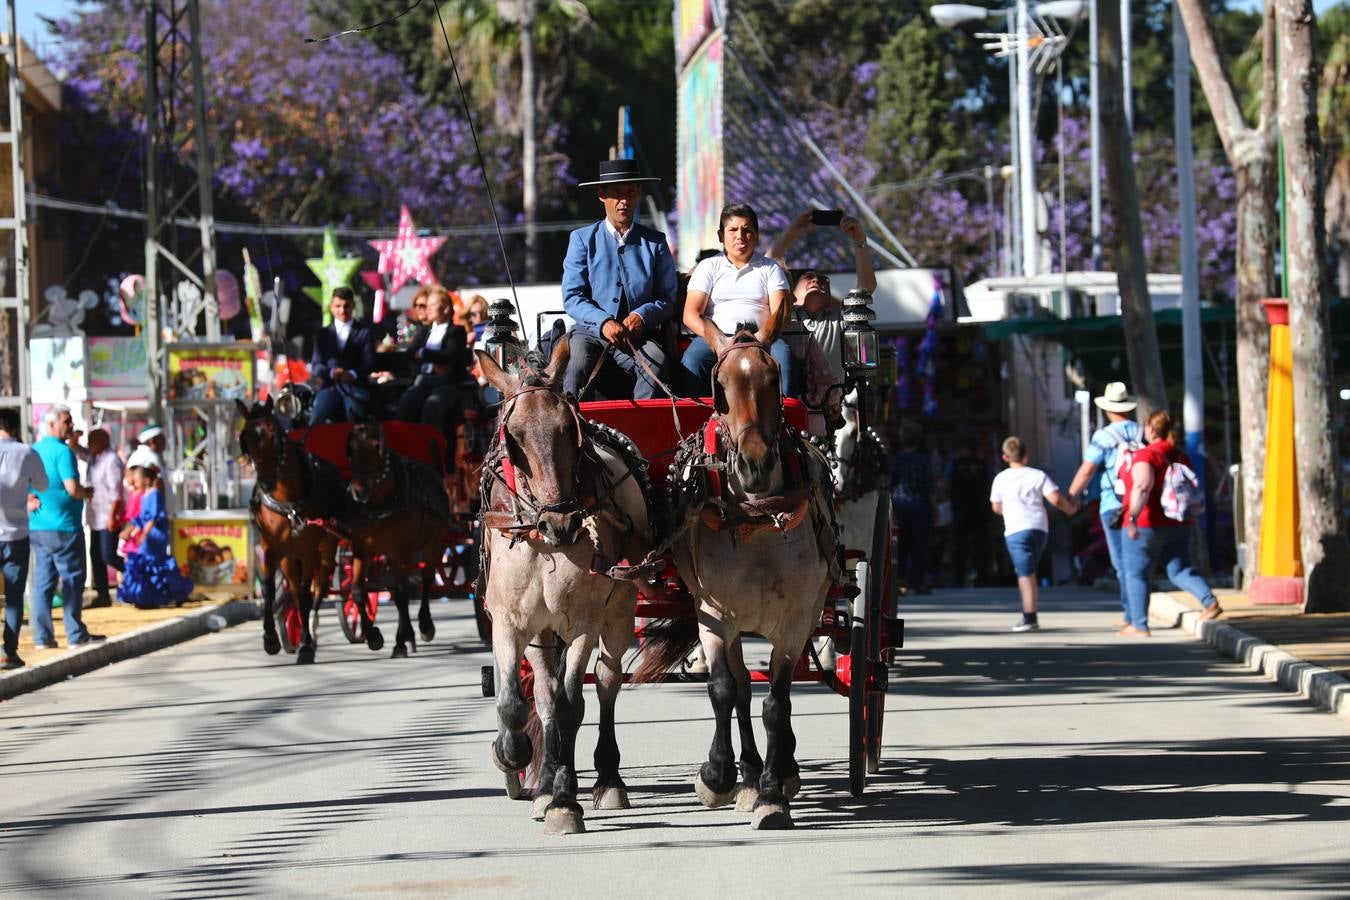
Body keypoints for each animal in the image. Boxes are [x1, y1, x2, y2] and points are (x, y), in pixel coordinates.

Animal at [236, 396, 345, 666]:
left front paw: (305, 646)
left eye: (274, 434)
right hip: (288, 556)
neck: (288, 500)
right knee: (295, 591)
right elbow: (269, 590)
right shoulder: (270, 547)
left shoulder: (308, 549)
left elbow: (306, 594)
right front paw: (270, 639)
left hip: (327, 547)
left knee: (319, 586)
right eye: (246, 438)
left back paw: (315, 633)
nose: (265, 482)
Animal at [342, 423, 448, 661]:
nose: (359, 491)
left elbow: (401, 596)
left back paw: (424, 626)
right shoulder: (362, 550)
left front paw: (400, 641)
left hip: (433, 544)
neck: (380, 506)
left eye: (377, 447)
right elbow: (358, 591)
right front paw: (373, 636)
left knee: (426, 578)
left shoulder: (400, 552)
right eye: (351, 448)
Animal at [477, 340, 656, 836]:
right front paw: (515, 757)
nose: (562, 522)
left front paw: (564, 800)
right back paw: (541, 781)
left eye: (568, 430)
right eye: (514, 436)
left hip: (619, 610)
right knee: (544, 693)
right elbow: (516, 702)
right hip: (542, 630)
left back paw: (606, 778)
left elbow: (573, 704)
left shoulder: (584, 623)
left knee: (608, 682)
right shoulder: (510, 621)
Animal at [634, 323, 842, 831]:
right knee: (743, 685)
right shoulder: (714, 614)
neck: (756, 516)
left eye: (773, 380)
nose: (754, 464)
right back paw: (745, 773)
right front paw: (718, 774)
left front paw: (772, 792)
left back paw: (777, 770)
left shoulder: (794, 621)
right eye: (720, 388)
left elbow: (777, 702)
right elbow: (724, 690)